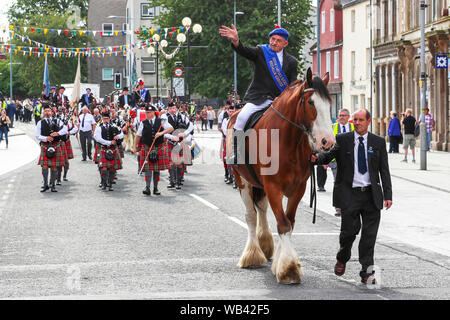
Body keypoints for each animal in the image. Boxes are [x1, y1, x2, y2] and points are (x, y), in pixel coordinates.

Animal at [225, 69, 334, 284]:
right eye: (311, 102)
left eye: (329, 103)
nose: (328, 141)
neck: (288, 140)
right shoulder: (273, 186)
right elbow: (282, 223)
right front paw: (289, 268)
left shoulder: (298, 188)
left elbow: (288, 222)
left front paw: (282, 263)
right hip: (242, 181)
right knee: (251, 216)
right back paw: (252, 255)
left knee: (262, 209)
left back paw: (265, 245)